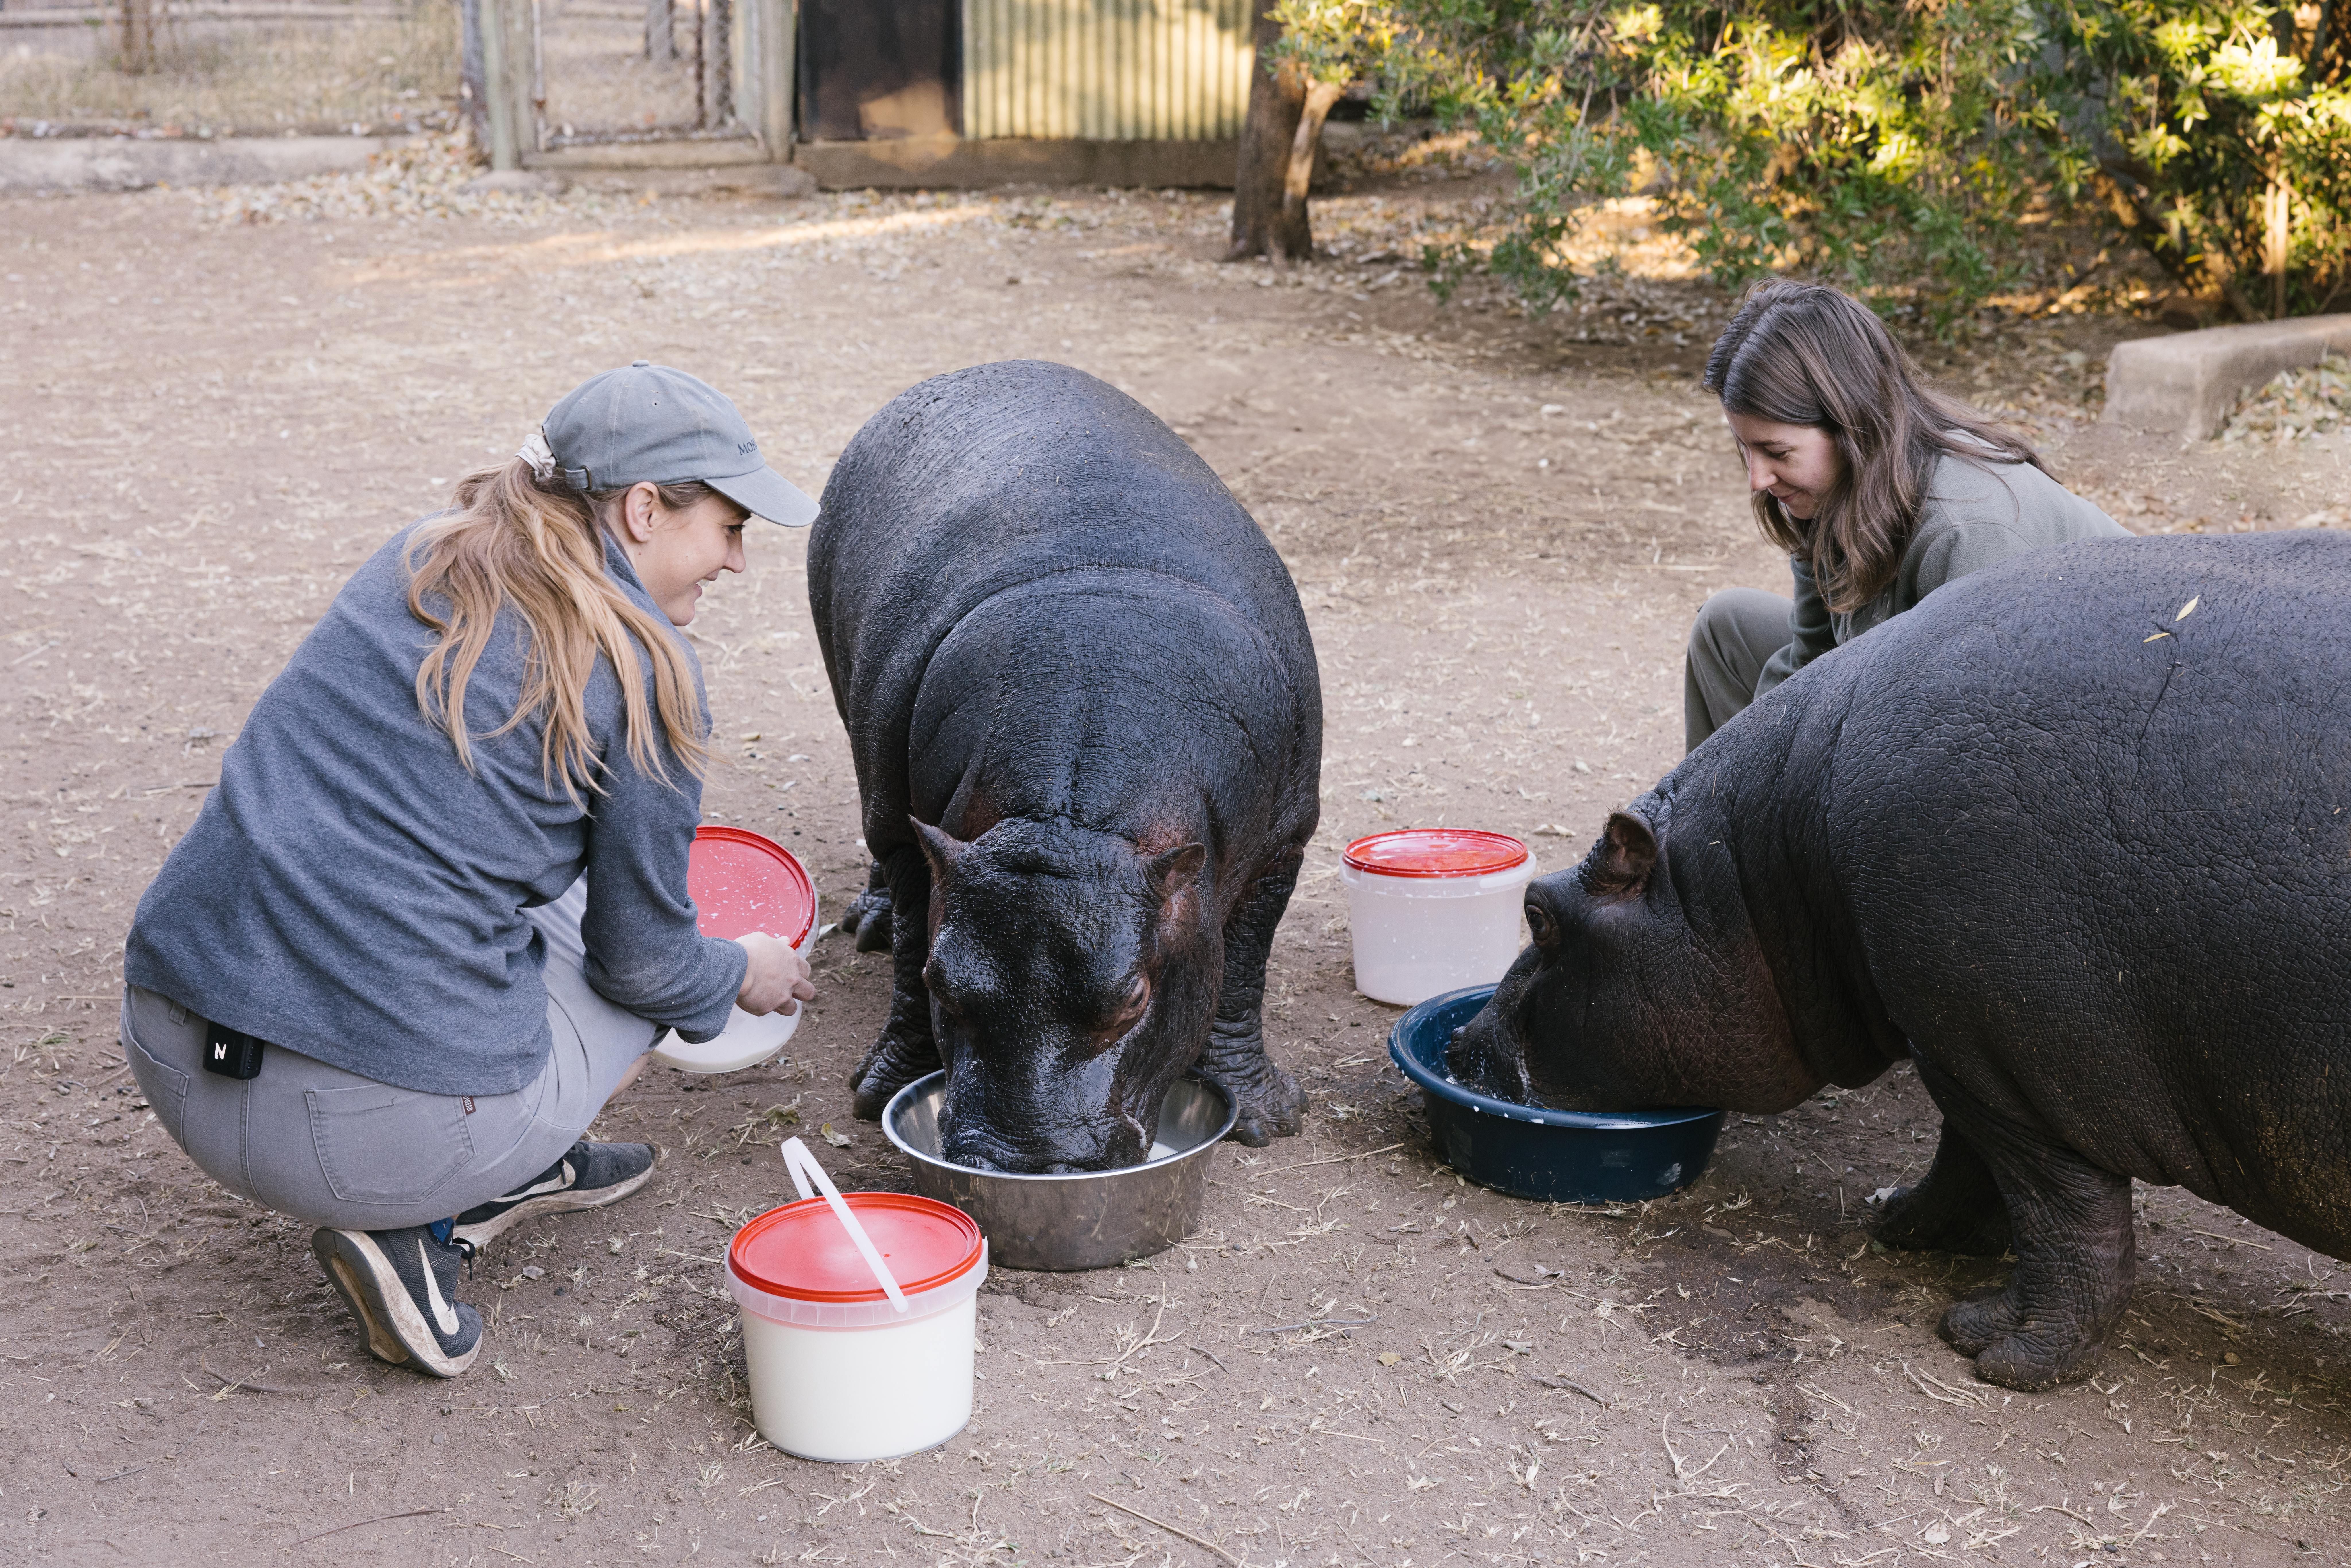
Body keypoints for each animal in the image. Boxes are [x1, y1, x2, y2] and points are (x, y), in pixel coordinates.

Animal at [806, 360, 1320, 1172]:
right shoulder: (924, 854)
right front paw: (877, 1086)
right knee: (881, 839)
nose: (1019, 1159)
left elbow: (1240, 974)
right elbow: (916, 940)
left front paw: (1270, 1115)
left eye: (1134, 996)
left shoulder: (1283, 847)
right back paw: (871, 922)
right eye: (943, 981)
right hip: (862, 741)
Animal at [1448, 531, 2351, 1390]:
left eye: (1538, 910)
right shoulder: (1963, 1041)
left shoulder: (2010, 1056)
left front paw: (1995, 1348)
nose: (1457, 1041)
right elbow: (1977, 1166)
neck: (1758, 861)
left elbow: (2059, 1212)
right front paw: (1898, 1221)